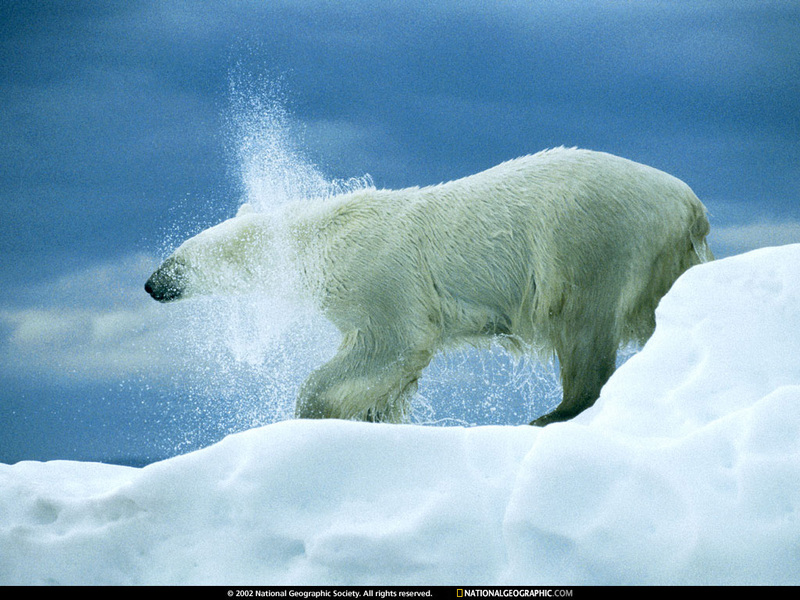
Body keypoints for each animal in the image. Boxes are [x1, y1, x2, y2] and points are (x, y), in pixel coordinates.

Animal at [145, 147, 712, 424]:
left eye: (179, 260)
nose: (151, 285)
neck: (317, 236)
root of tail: (690, 203)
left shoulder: (376, 275)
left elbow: (390, 344)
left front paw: (313, 412)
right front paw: (372, 416)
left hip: (588, 237)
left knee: (582, 325)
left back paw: (555, 413)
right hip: (662, 256)